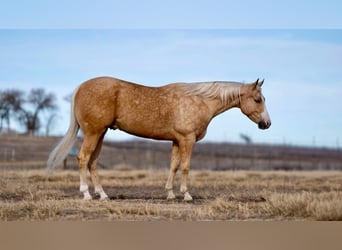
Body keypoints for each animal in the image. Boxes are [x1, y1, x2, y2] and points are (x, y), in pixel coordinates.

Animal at [46, 77, 272, 200]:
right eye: (257, 99)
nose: (267, 123)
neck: (199, 101)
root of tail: (81, 87)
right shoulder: (187, 140)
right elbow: (185, 167)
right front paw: (186, 194)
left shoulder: (176, 141)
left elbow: (173, 166)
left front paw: (170, 194)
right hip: (93, 133)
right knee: (83, 158)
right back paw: (86, 193)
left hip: (100, 133)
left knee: (92, 162)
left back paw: (102, 195)